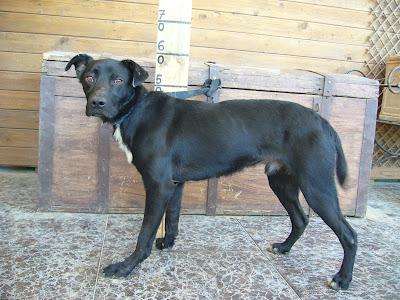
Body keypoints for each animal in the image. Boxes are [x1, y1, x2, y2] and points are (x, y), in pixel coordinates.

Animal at [66, 54, 360, 290]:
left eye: (117, 80)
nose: (97, 103)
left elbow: (145, 232)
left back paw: (343, 279)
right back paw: (284, 248)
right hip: (282, 181)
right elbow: (172, 218)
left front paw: (127, 267)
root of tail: (323, 122)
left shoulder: (159, 185)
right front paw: (168, 244)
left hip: (316, 186)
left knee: (349, 234)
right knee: (300, 219)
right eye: (89, 77)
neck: (136, 110)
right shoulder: (174, 184)